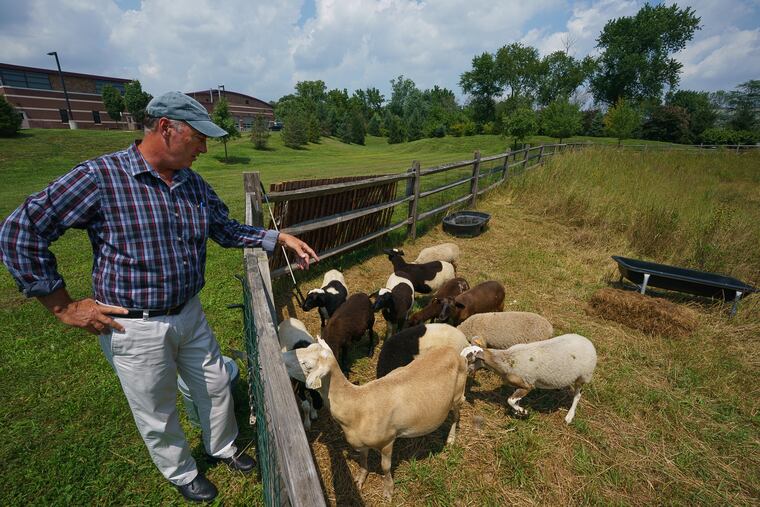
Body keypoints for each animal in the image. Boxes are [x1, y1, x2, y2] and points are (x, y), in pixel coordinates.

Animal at [282, 339, 467, 501]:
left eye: (307, 364)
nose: (282, 355)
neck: (355, 403)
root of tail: (453, 351)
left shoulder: (387, 441)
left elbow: (385, 467)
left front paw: (388, 490)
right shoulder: (361, 443)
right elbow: (363, 460)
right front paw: (360, 478)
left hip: (458, 396)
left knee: (456, 416)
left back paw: (451, 439)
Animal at [461, 333, 597, 424]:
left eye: (469, 359)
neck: (505, 361)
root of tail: (589, 343)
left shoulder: (527, 384)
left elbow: (510, 400)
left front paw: (523, 412)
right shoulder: (520, 385)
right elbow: (515, 400)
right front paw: (518, 411)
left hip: (584, 376)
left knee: (578, 395)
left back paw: (569, 416)